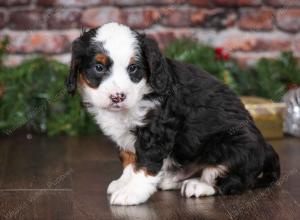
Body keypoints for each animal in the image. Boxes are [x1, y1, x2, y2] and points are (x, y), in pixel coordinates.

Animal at [66, 22, 282, 205]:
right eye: (99, 67)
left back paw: (199, 185)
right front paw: (124, 182)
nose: (118, 97)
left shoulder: (156, 131)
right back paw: (171, 179)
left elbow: (145, 164)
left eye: (133, 68)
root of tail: (266, 148)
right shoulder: (126, 137)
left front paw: (132, 192)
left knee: (230, 180)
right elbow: (129, 158)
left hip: (234, 143)